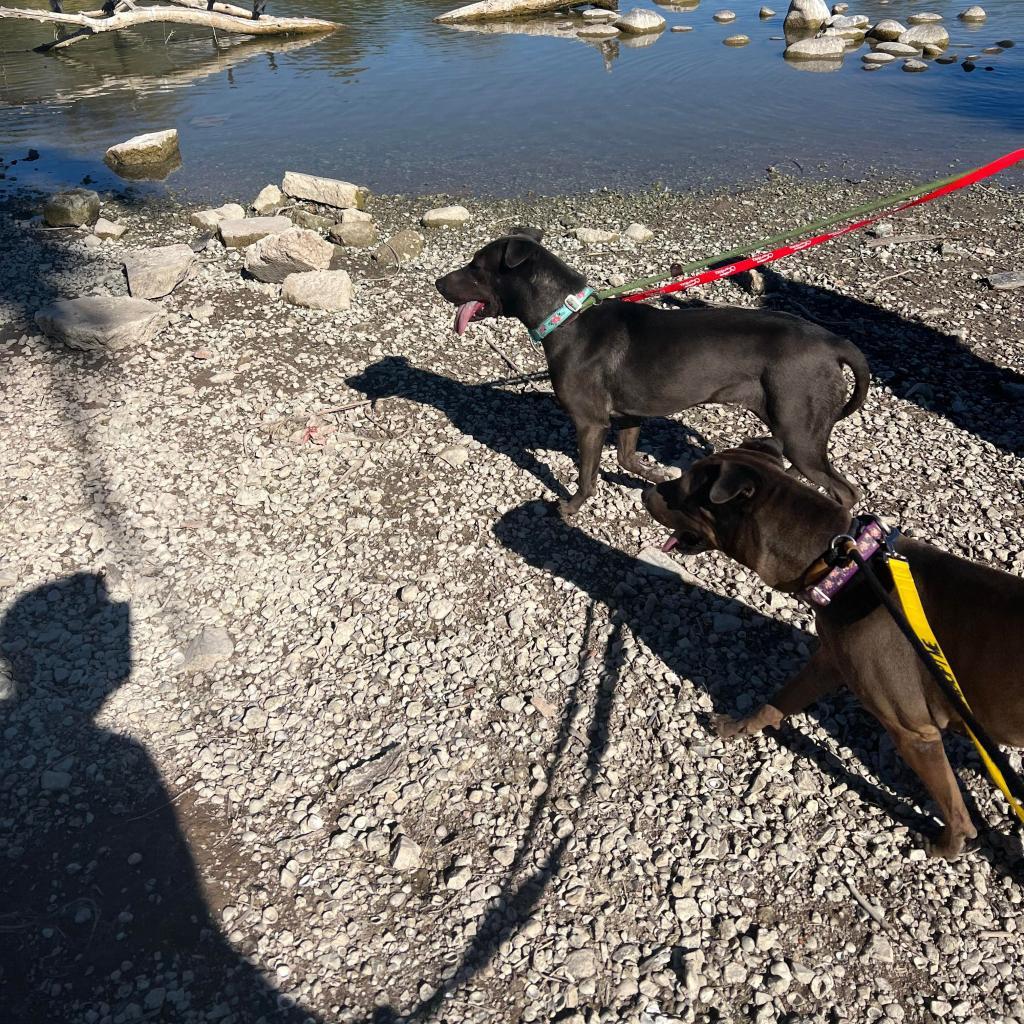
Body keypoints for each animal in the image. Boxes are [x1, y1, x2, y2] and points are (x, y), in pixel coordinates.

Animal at [436, 228, 868, 516]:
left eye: (476, 268)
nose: (438, 282)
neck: (567, 319)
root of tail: (833, 342)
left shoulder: (590, 423)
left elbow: (586, 476)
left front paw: (572, 507)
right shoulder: (629, 415)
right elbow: (629, 460)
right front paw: (662, 479)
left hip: (799, 433)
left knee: (846, 492)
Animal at [643, 438, 1024, 856]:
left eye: (679, 491)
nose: (645, 492)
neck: (844, 567)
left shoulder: (915, 731)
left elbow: (955, 809)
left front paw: (947, 847)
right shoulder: (830, 661)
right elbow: (776, 701)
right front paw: (737, 727)